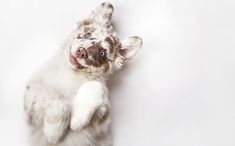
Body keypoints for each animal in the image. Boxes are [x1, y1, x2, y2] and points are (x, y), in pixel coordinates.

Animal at [23, 2, 142, 146]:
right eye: (87, 35)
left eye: (102, 52)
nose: (81, 51)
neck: (73, 73)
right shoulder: (31, 101)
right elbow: (59, 101)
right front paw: (54, 133)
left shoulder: (103, 118)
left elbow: (96, 85)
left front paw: (77, 119)